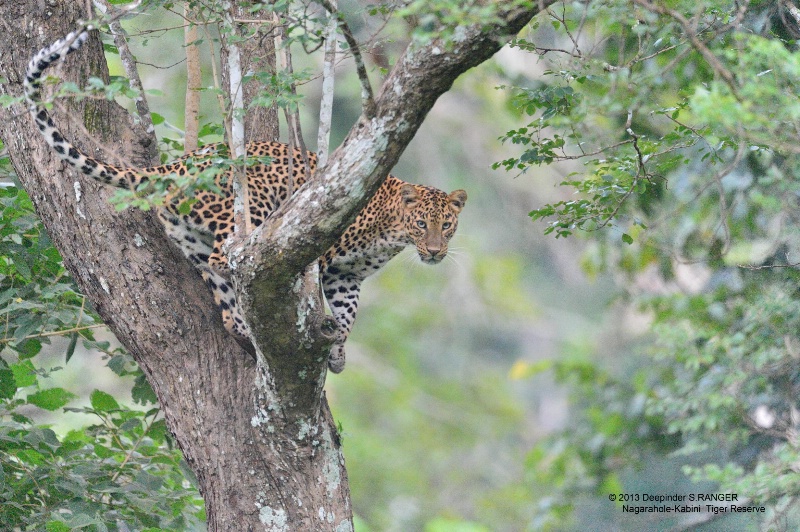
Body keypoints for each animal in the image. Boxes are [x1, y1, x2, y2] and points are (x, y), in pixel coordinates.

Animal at [25, 29, 466, 374]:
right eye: (421, 224)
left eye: (446, 226)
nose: (434, 251)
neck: (391, 235)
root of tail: (174, 168)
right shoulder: (329, 254)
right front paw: (326, 337)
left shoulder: (347, 277)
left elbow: (349, 315)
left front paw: (338, 349)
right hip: (246, 205)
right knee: (233, 256)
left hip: (192, 243)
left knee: (225, 301)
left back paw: (246, 330)